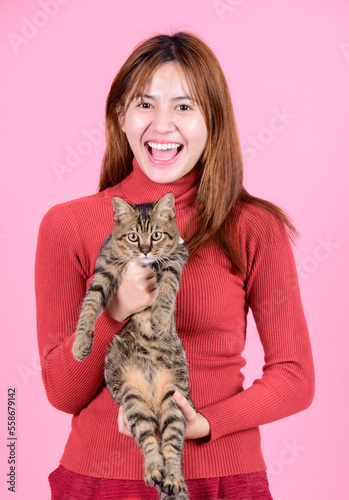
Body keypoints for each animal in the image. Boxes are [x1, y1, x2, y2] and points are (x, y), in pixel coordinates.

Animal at [71, 192, 193, 500]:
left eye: (156, 235)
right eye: (134, 236)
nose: (147, 251)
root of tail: (152, 397)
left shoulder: (176, 257)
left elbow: (167, 287)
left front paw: (160, 317)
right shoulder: (104, 270)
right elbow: (89, 304)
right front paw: (80, 342)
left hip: (174, 398)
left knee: (172, 446)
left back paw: (172, 478)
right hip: (133, 400)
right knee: (150, 440)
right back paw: (154, 470)